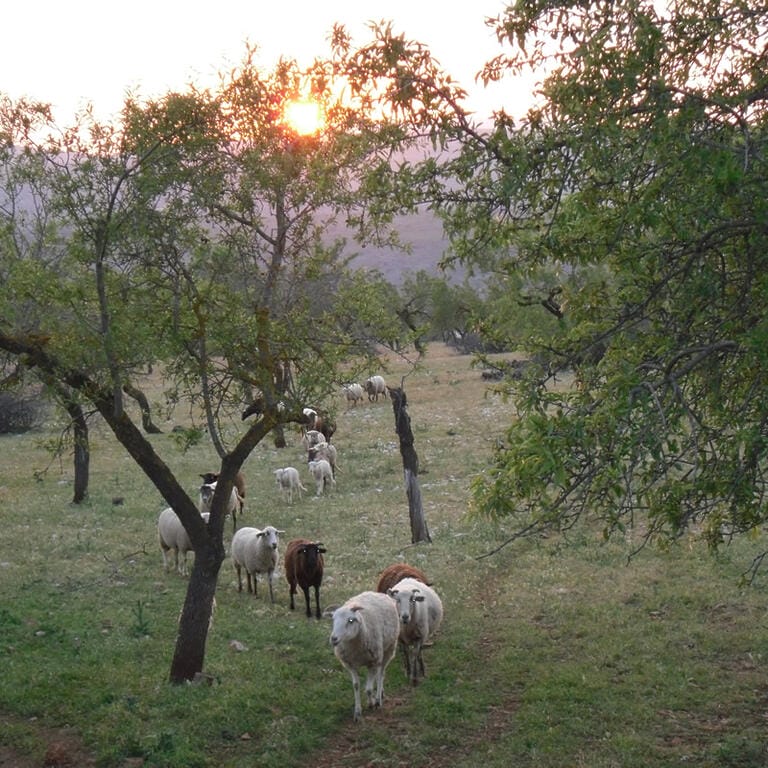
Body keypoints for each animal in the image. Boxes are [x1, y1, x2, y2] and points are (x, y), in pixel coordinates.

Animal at [329, 591, 401, 721]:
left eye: (350, 620)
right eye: (333, 619)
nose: (334, 639)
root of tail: (375, 592)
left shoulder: (373, 662)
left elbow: (368, 689)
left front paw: (371, 703)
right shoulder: (350, 664)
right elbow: (356, 685)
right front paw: (357, 712)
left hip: (388, 650)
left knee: (381, 673)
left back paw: (378, 698)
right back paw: (380, 693)